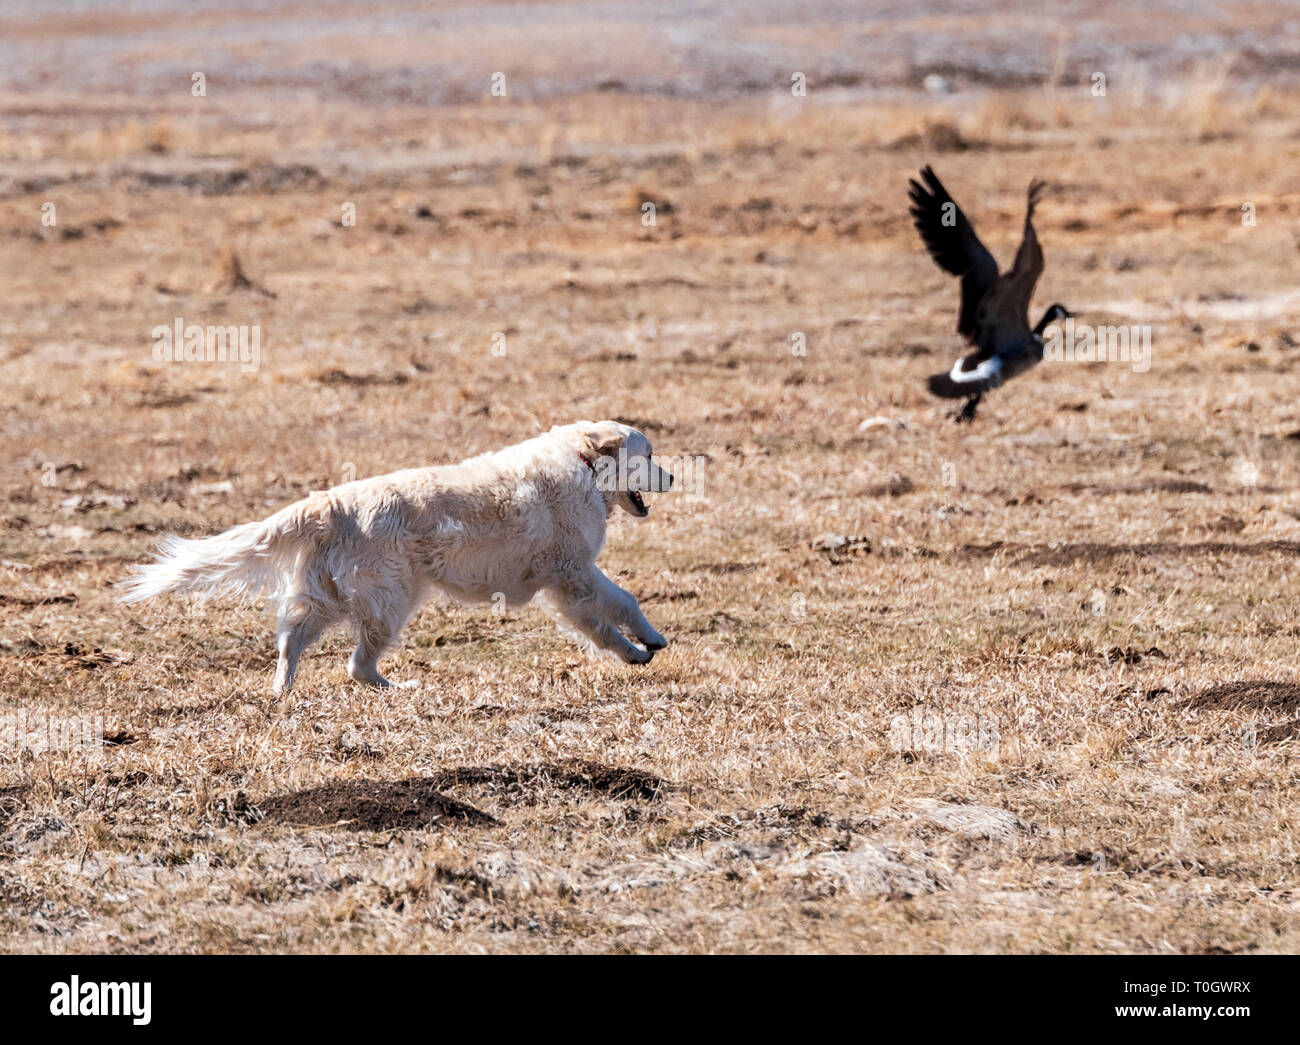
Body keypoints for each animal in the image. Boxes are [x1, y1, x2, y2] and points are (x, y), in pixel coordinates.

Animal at [119, 415, 681, 691]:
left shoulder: (565, 586)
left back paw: (283, 689)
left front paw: (633, 652)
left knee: (292, 641)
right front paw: (649, 641)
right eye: (650, 455)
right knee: (356, 666)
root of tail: (328, 502)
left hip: (330, 599)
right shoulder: (575, 575)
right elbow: (623, 603)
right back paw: (400, 688)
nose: (674, 476)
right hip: (391, 601)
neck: (583, 463)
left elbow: (603, 627)